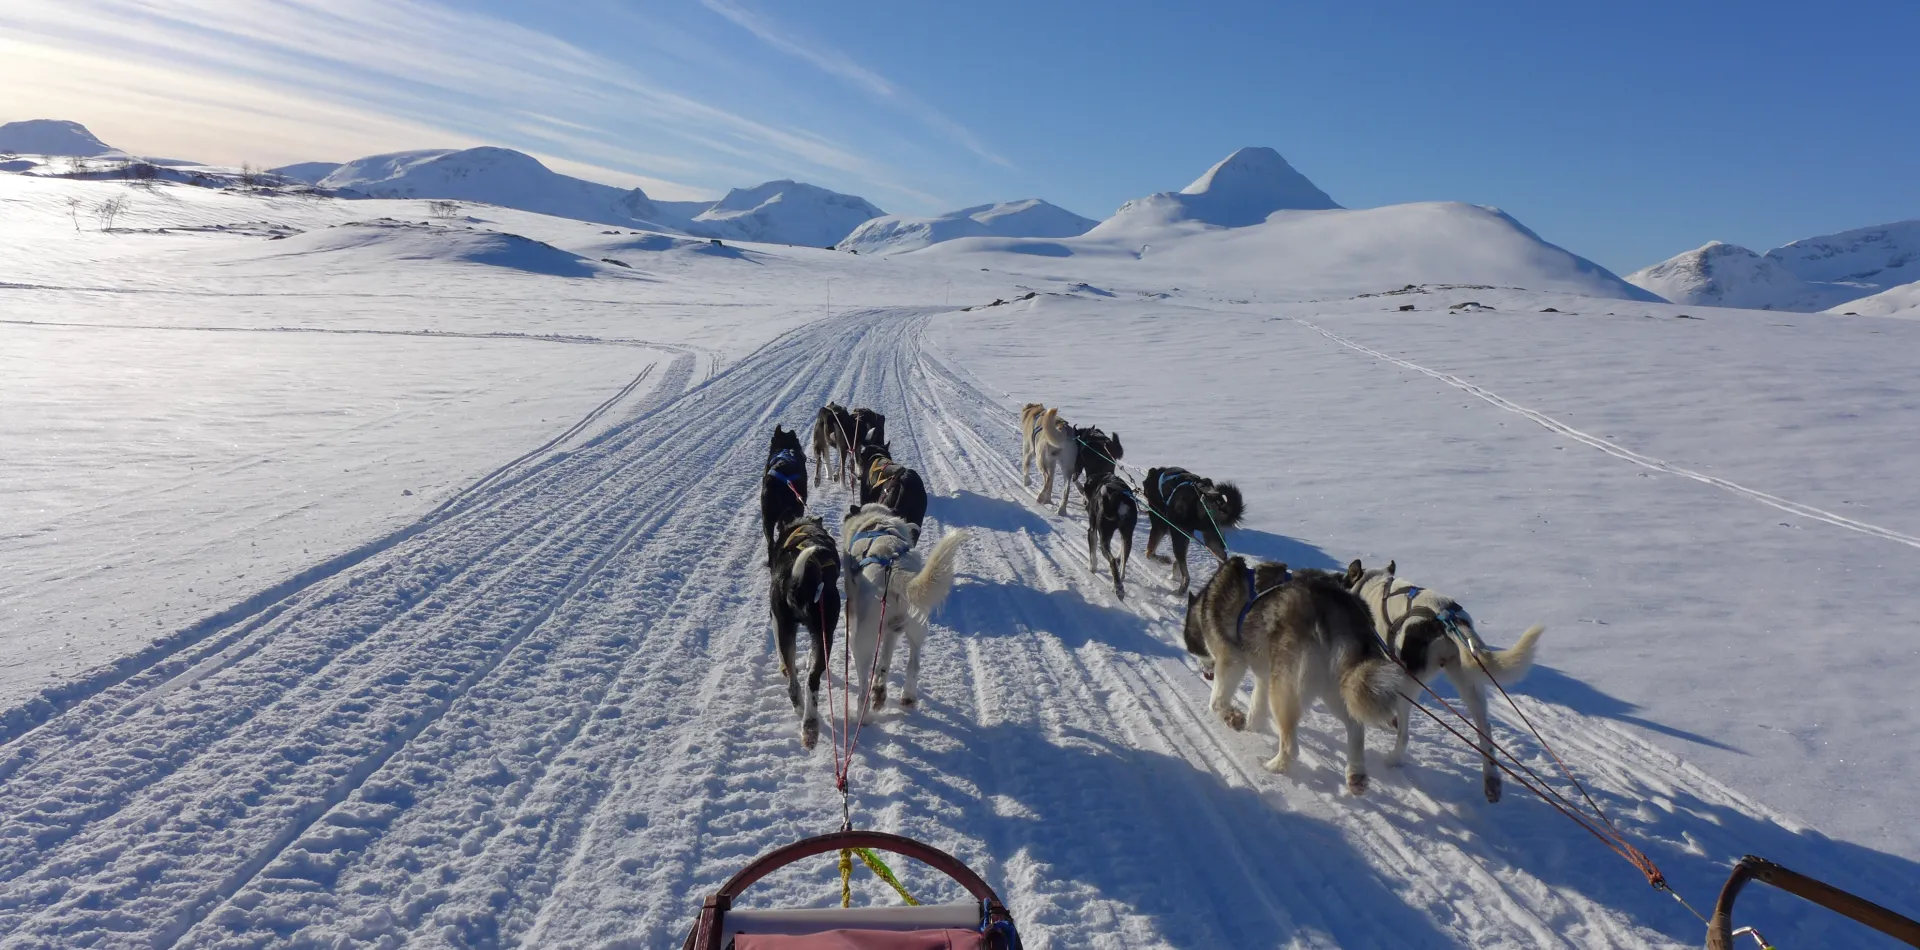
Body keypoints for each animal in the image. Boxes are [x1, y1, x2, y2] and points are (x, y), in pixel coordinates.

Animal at [840, 506, 967, 713]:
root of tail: (896, 571)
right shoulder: (893, 630)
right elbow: (884, 662)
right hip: (916, 627)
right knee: (913, 664)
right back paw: (904, 695)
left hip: (863, 639)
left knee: (863, 686)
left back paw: (861, 713)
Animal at [1351, 560, 1543, 806]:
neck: (1376, 582)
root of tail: (1447, 620)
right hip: (1468, 681)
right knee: (1485, 729)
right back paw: (1492, 781)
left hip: (1409, 681)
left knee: (1404, 733)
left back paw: (1393, 758)